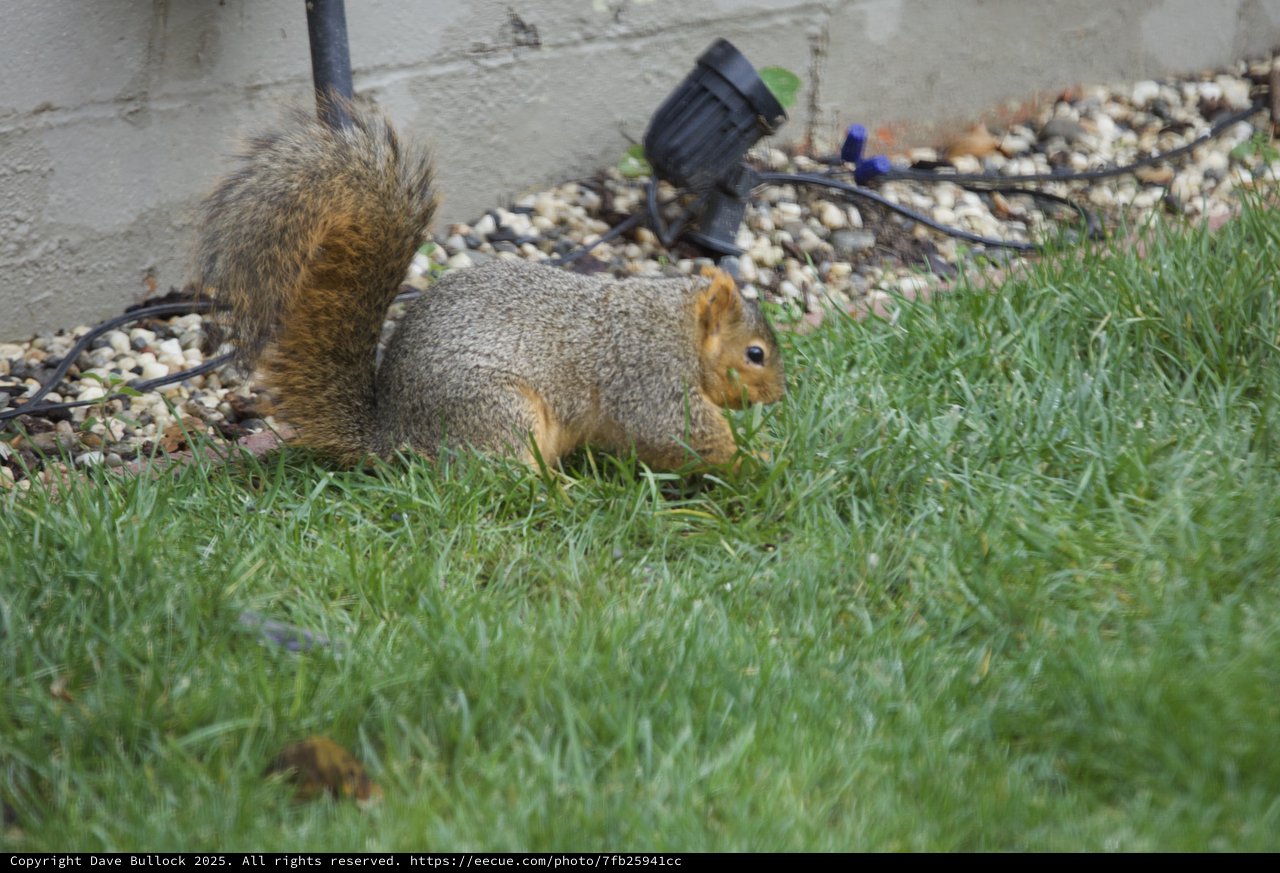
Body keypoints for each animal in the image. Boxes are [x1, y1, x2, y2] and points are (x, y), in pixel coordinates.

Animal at [194, 100, 785, 470]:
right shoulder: (651, 379)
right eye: (754, 354)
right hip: (499, 412)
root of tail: (395, 437)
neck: (680, 328)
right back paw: (562, 492)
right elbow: (682, 433)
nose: (780, 396)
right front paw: (758, 461)